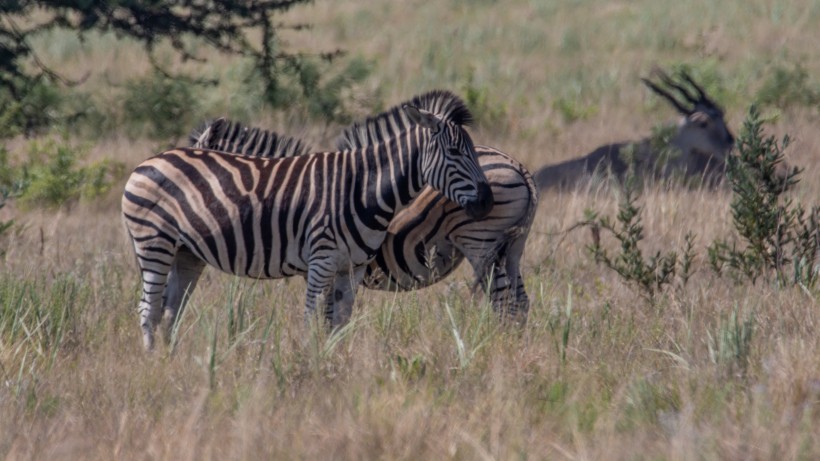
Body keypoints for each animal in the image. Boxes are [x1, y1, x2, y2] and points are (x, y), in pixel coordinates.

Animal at [121, 89, 494, 348]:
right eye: (455, 152)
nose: (487, 202)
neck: (361, 188)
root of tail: (149, 161)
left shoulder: (350, 268)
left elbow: (338, 324)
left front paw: (334, 365)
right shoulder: (320, 262)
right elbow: (312, 319)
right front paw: (306, 364)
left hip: (185, 254)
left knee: (168, 312)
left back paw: (170, 363)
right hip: (154, 243)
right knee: (148, 310)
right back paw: (155, 367)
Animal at [191, 117, 540, 322]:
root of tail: (518, 166)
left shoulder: (322, 263)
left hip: (480, 244)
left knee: (504, 305)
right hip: (512, 249)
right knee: (521, 304)